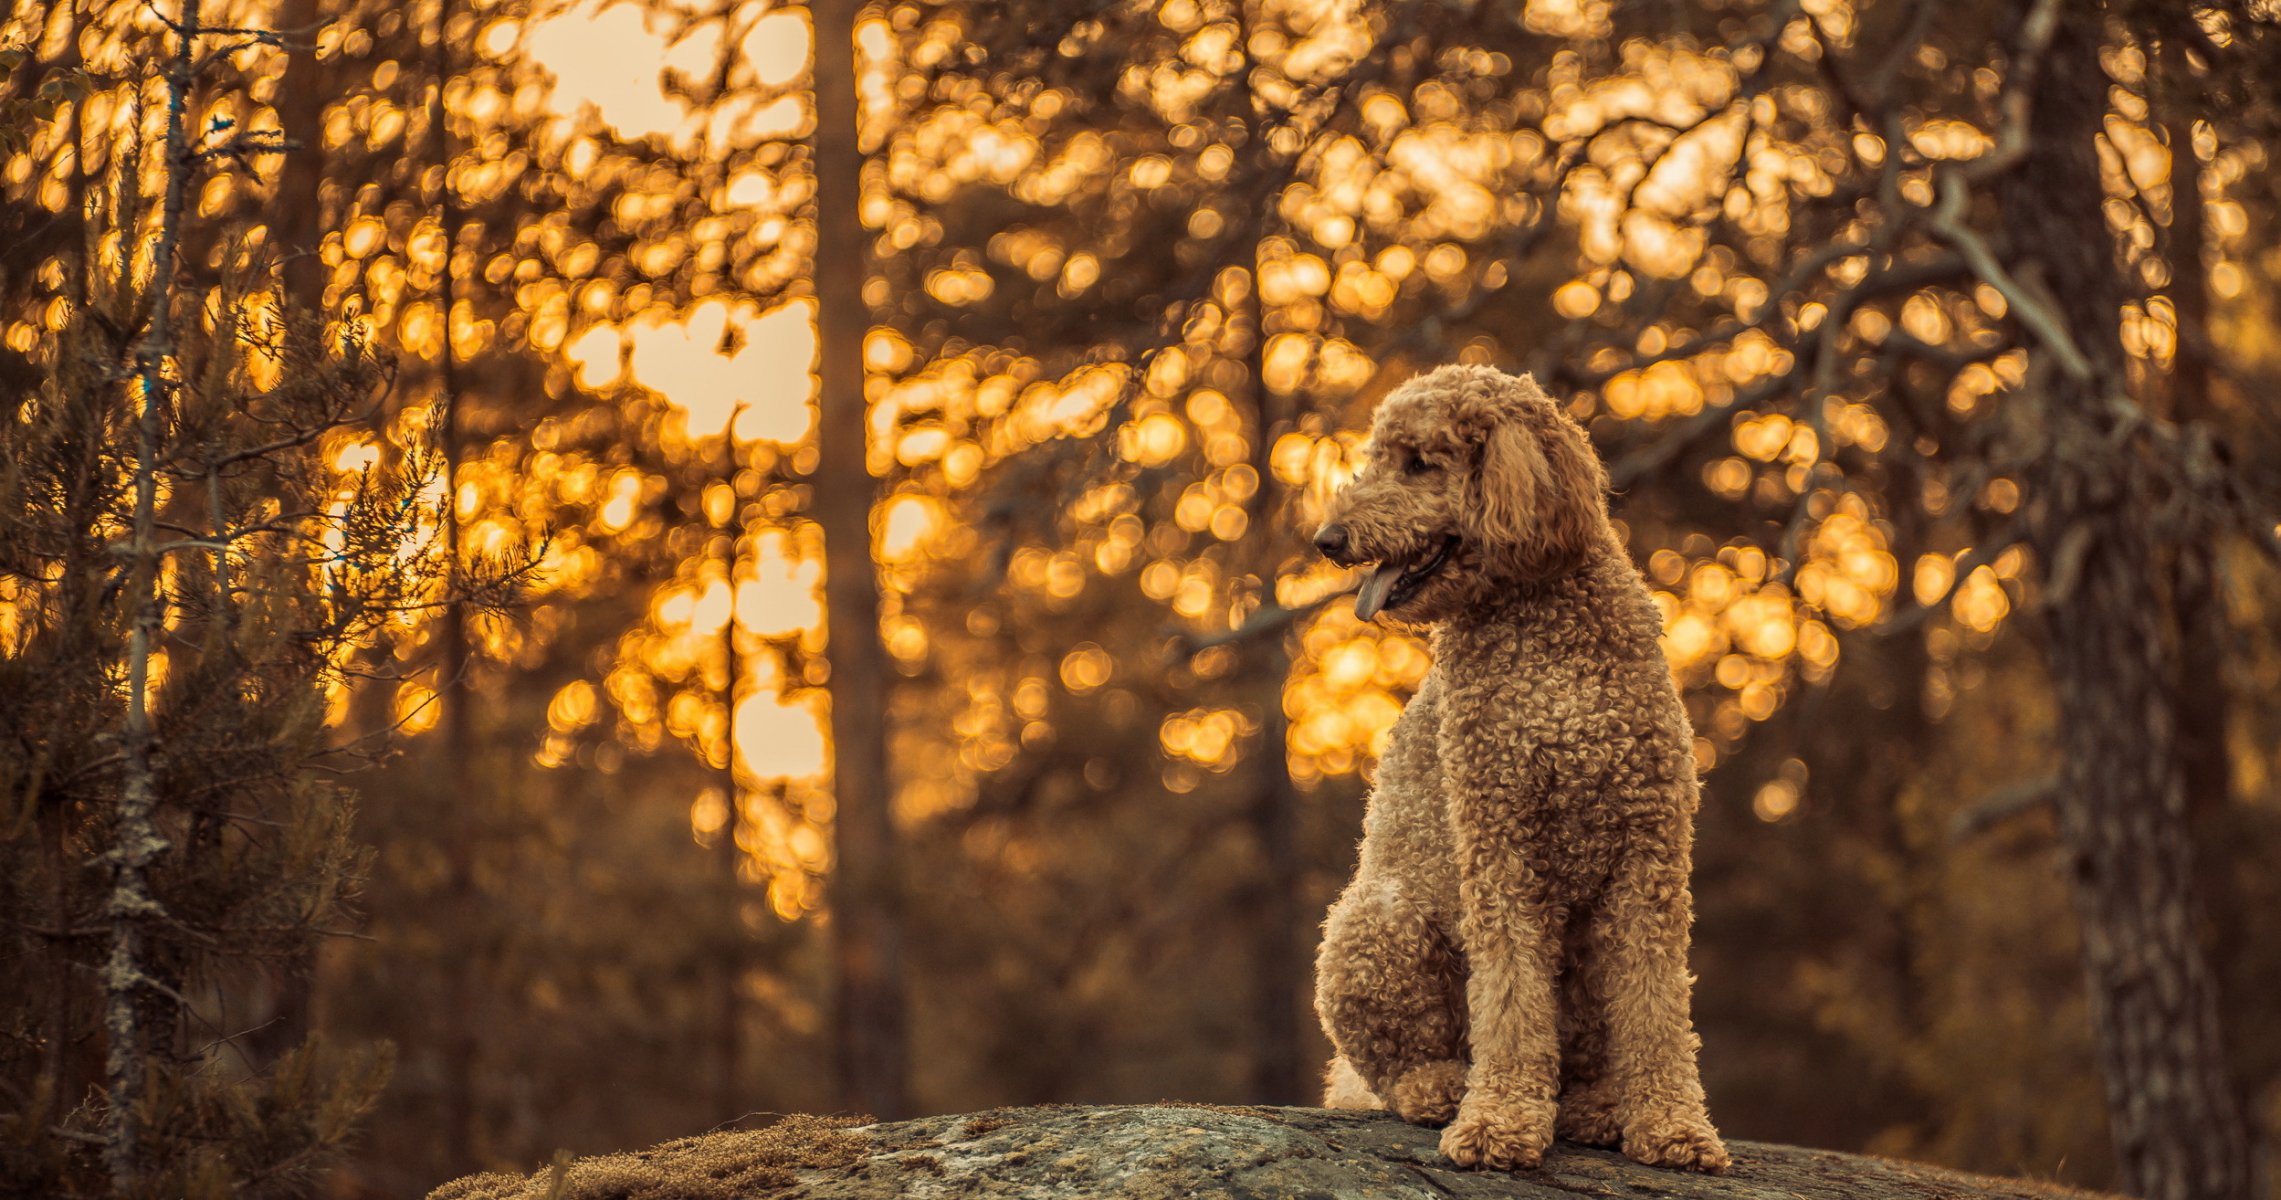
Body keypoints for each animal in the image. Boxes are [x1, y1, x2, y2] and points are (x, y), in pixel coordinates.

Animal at [1313, 365, 1715, 1177]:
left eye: (1417, 463)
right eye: (1376, 460)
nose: (1327, 540)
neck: (1544, 635)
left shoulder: (1648, 854)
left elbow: (1656, 1005)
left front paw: (1672, 1126)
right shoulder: (1500, 848)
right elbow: (1508, 998)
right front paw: (1497, 1121)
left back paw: (1594, 1108)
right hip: (1373, 921)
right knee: (1394, 1065)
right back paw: (1441, 1088)